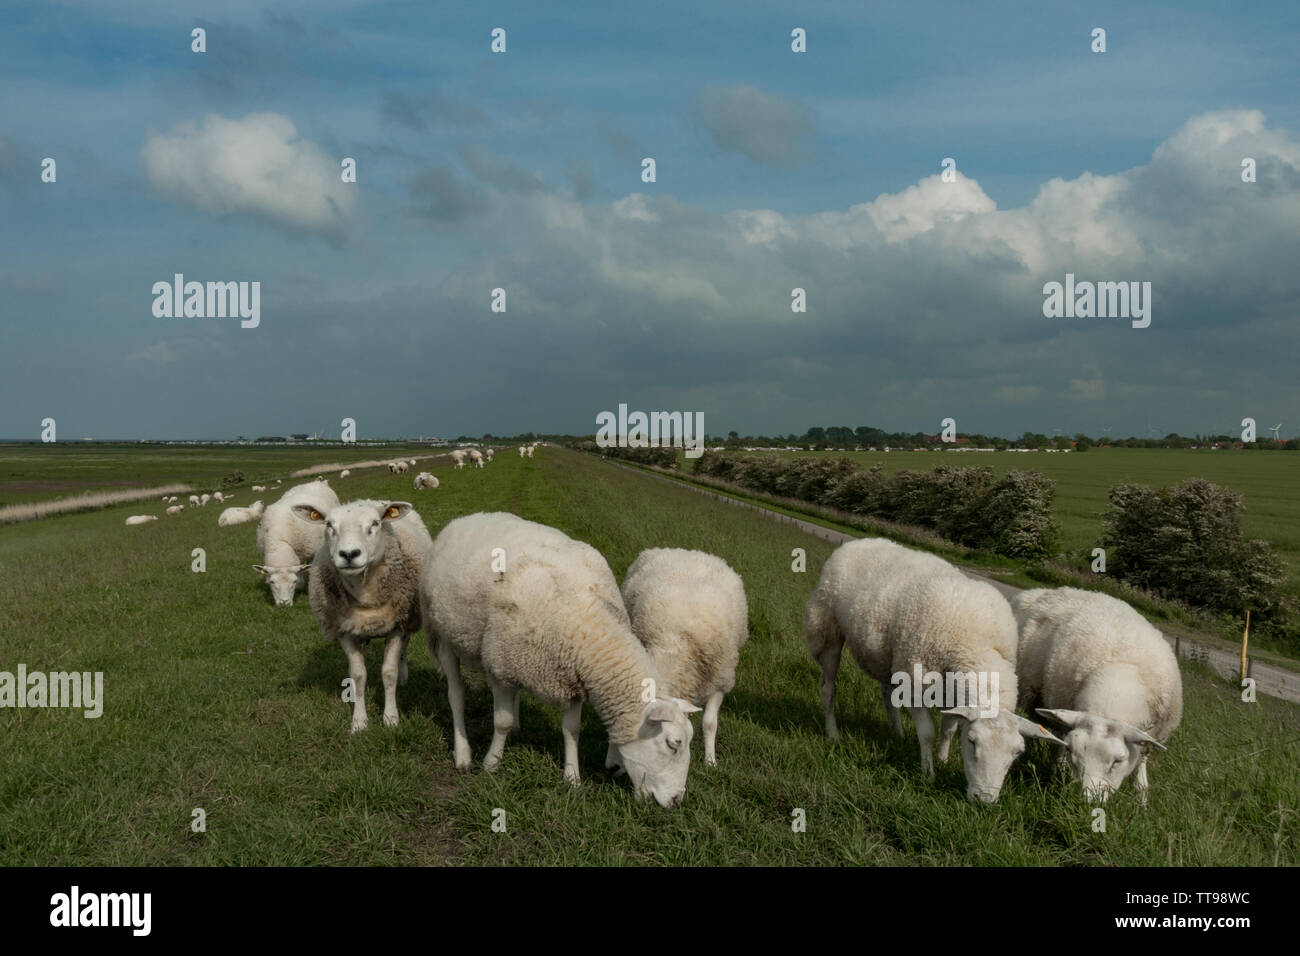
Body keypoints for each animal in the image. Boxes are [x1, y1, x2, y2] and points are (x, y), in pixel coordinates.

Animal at [297, 499, 433, 732]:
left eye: (375, 523)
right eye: (329, 525)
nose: (349, 554)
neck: (365, 596)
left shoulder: (397, 625)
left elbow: (389, 673)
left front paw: (390, 718)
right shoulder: (344, 630)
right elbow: (358, 676)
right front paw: (359, 722)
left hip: (409, 617)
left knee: (404, 648)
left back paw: (404, 673)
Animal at [419, 512, 701, 807]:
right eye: (673, 744)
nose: (677, 801)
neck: (588, 626)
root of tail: (465, 519)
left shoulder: (571, 679)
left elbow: (572, 730)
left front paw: (572, 778)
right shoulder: (500, 668)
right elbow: (501, 722)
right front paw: (491, 764)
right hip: (442, 633)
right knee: (456, 694)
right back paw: (463, 754)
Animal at [805, 537, 1061, 803]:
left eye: (1017, 753)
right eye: (971, 741)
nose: (984, 800)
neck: (978, 645)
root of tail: (859, 541)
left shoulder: (952, 691)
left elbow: (948, 729)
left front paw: (943, 759)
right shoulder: (916, 682)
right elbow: (928, 732)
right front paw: (928, 772)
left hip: (889, 655)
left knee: (886, 693)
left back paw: (897, 733)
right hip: (826, 629)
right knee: (828, 687)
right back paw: (833, 733)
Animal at [1011, 587, 1183, 805]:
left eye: (1118, 761)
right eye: (1072, 752)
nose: (1087, 802)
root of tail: (1039, 591)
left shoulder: (1154, 734)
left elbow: (1143, 760)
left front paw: (1141, 797)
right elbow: (1059, 749)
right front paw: (1059, 772)